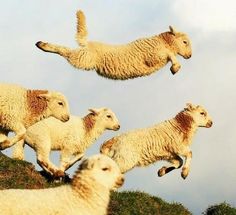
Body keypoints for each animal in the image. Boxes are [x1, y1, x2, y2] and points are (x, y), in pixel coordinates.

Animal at [36, 9, 192, 80]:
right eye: (184, 42)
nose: (189, 56)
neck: (163, 41)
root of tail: (88, 44)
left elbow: (170, 55)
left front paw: (175, 67)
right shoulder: (153, 56)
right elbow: (170, 54)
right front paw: (175, 67)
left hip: (85, 57)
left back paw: (42, 45)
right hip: (85, 59)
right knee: (66, 51)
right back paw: (43, 45)